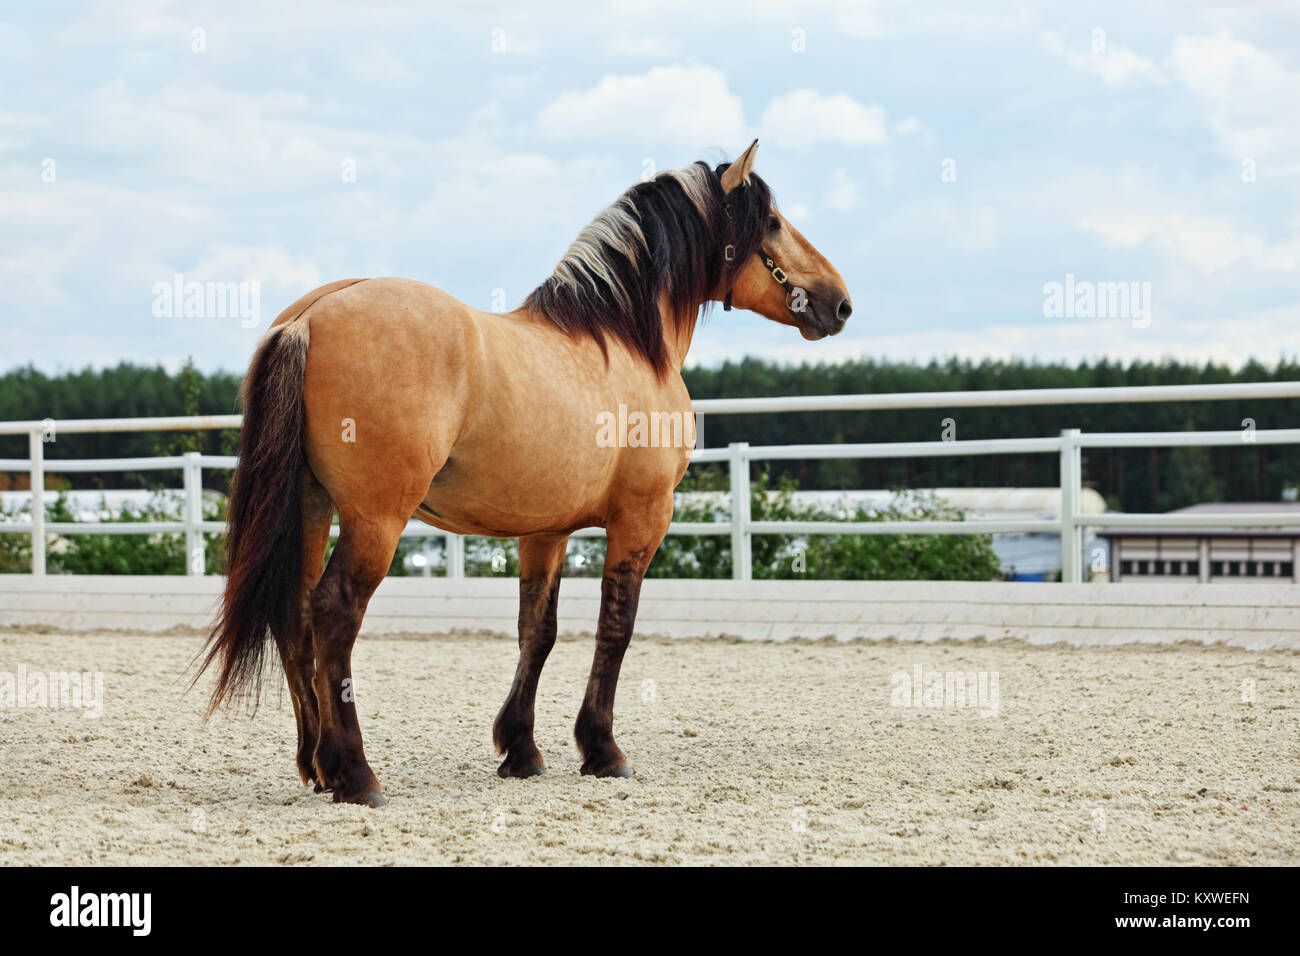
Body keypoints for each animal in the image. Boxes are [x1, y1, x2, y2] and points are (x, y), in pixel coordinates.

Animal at [196, 139, 851, 806]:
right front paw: (602, 749)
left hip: (310, 508)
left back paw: (316, 766)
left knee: (294, 616)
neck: (626, 341)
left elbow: (538, 631)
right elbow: (615, 628)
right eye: (772, 221)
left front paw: (521, 750)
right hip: (374, 520)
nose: (840, 302)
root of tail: (309, 318)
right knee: (334, 613)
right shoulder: (642, 520)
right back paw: (355, 772)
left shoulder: (545, 531)